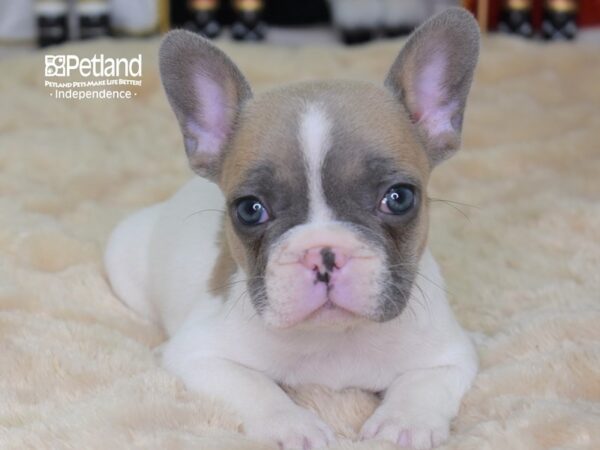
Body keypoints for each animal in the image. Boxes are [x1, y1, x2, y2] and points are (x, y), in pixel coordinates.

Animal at [105, 7, 480, 450]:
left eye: (399, 198)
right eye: (250, 210)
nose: (324, 252)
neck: (335, 338)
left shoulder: (450, 356)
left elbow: (424, 384)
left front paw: (404, 422)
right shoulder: (200, 355)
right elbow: (255, 388)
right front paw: (292, 425)